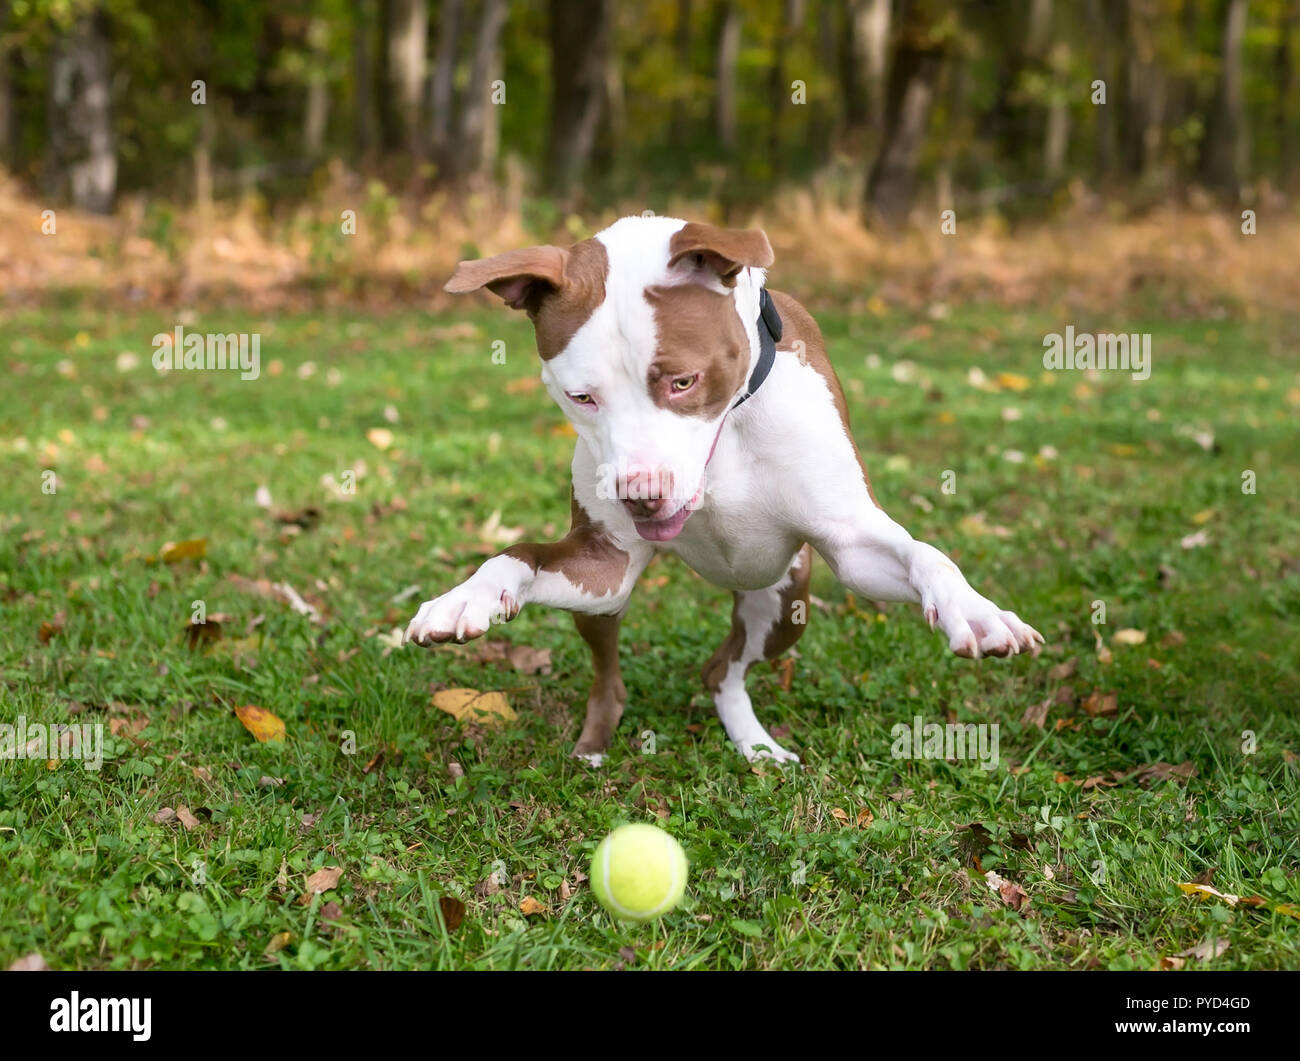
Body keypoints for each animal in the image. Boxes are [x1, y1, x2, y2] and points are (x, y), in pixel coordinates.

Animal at [408, 215, 1045, 764]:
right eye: (580, 396)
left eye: (683, 381)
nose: (640, 495)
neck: (730, 431)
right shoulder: (604, 562)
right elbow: (516, 553)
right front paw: (466, 597)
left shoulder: (853, 547)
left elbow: (927, 555)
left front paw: (978, 613)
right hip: (608, 603)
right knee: (612, 673)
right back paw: (595, 744)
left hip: (783, 602)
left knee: (724, 671)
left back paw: (758, 747)